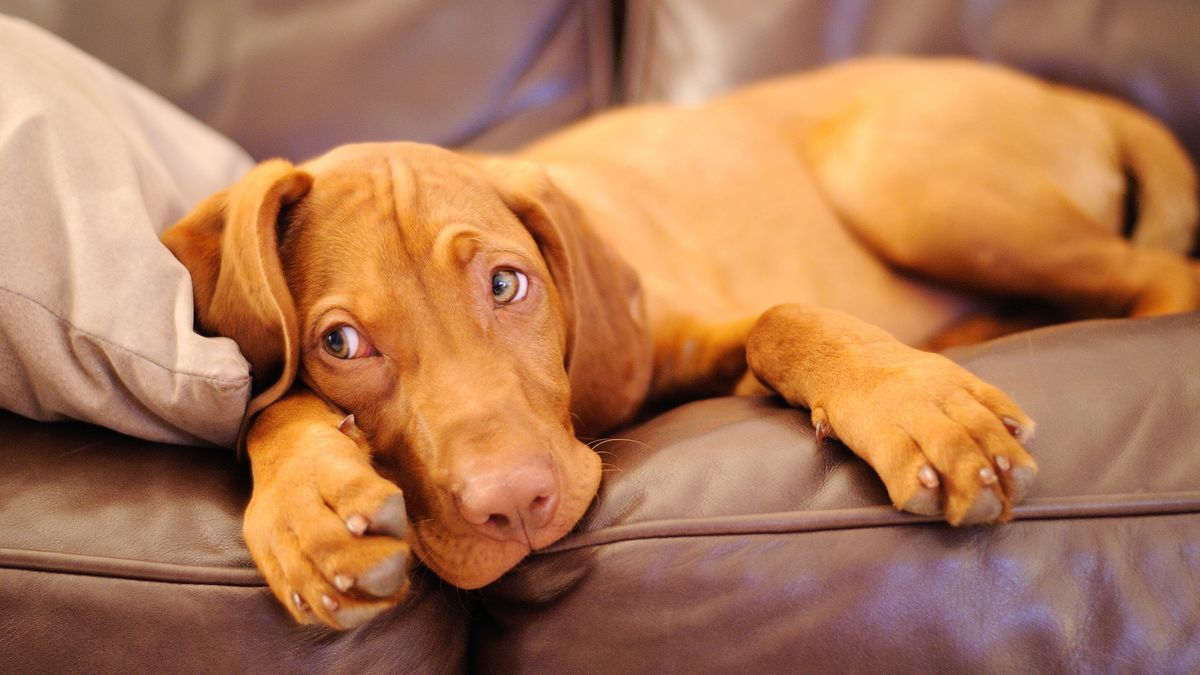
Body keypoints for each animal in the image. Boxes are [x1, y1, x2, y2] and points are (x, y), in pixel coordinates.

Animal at [162, 55, 1200, 629]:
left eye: (507, 283)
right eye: (341, 342)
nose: (517, 505)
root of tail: (1060, 89)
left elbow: (785, 315)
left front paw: (918, 403)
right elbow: (271, 405)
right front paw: (308, 510)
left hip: (901, 178)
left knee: (1164, 279)